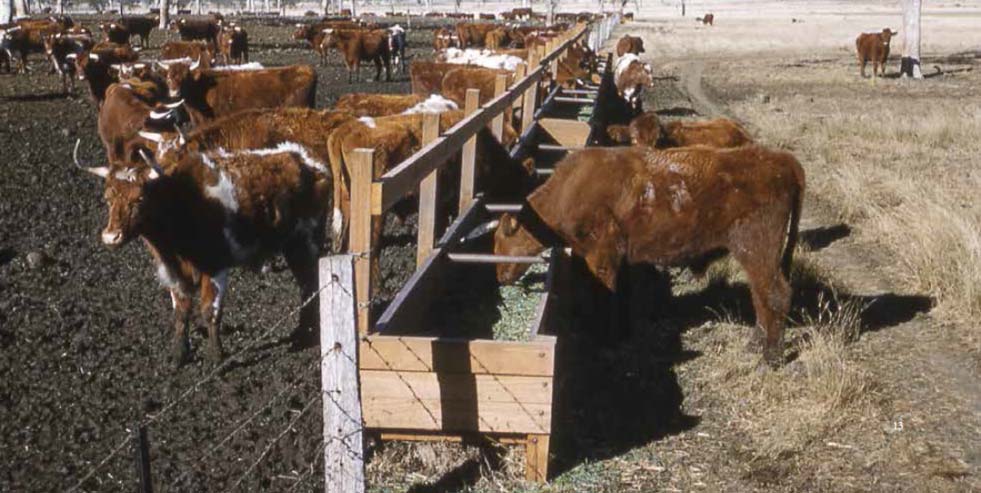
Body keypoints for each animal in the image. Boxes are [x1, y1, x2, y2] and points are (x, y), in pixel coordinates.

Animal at [490, 144, 804, 364]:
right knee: (760, 295)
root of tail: (781, 160)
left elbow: (606, 294)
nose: (500, 276)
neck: (569, 190)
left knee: (775, 294)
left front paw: (607, 340)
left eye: (500, 241)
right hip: (756, 257)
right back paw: (754, 345)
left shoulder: (602, 256)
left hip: (757, 250)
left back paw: (770, 357)